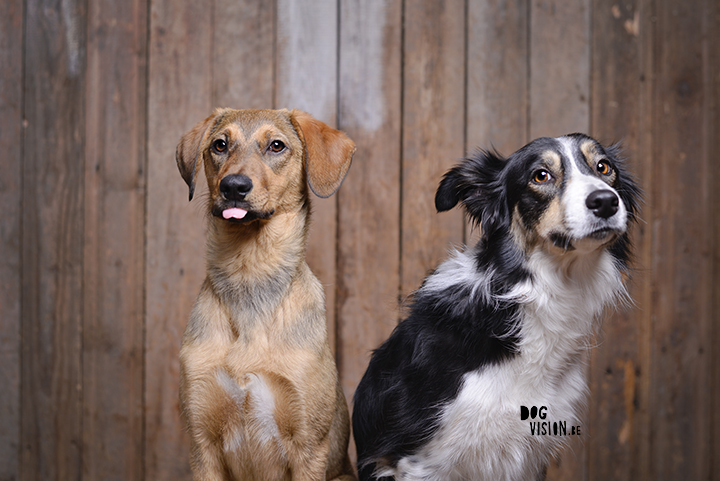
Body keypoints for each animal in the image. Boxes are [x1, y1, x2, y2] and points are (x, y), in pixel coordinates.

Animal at [177, 109, 358, 480]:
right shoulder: (202, 444)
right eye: (220, 144)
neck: (250, 270)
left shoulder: (308, 447)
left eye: (277, 145)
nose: (233, 186)